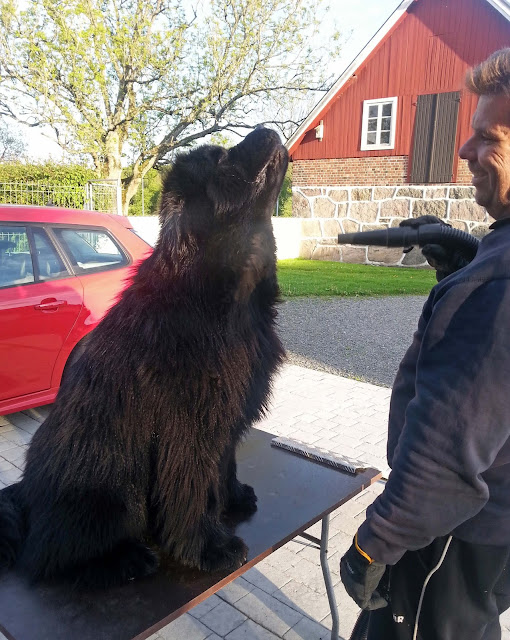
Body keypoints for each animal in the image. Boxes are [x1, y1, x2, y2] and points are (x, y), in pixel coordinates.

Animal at [0, 127, 288, 588]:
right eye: (223, 159)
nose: (268, 129)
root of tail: (24, 497)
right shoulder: (188, 429)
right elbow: (192, 490)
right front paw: (207, 548)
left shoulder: (225, 418)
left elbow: (222, 467)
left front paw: (232, 498)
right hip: (112, 486)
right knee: (50, 554)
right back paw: (125, 559)